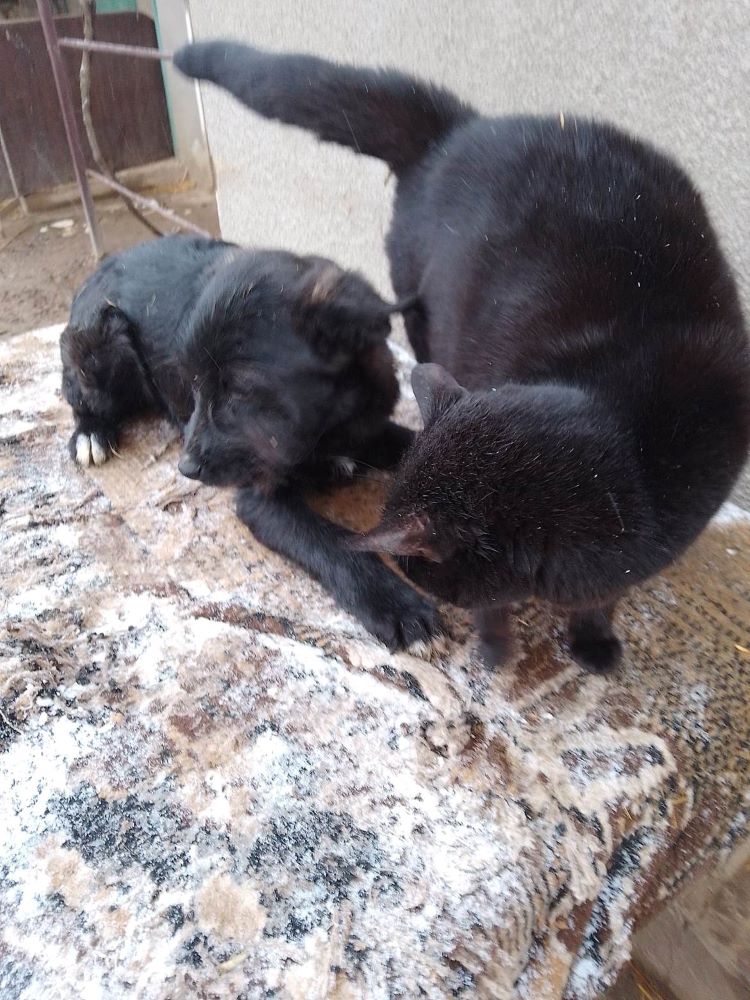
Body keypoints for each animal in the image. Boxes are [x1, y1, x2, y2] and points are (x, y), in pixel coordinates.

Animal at [64, 234, 444, 648]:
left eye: (240, 392)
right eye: (193, 381)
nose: (186, 468)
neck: (322, 431)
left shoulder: (367, 430)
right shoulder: (260, 498)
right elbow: (331, 541)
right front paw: (392, 600)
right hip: (104, 340)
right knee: (77, 394)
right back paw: (91, 433)